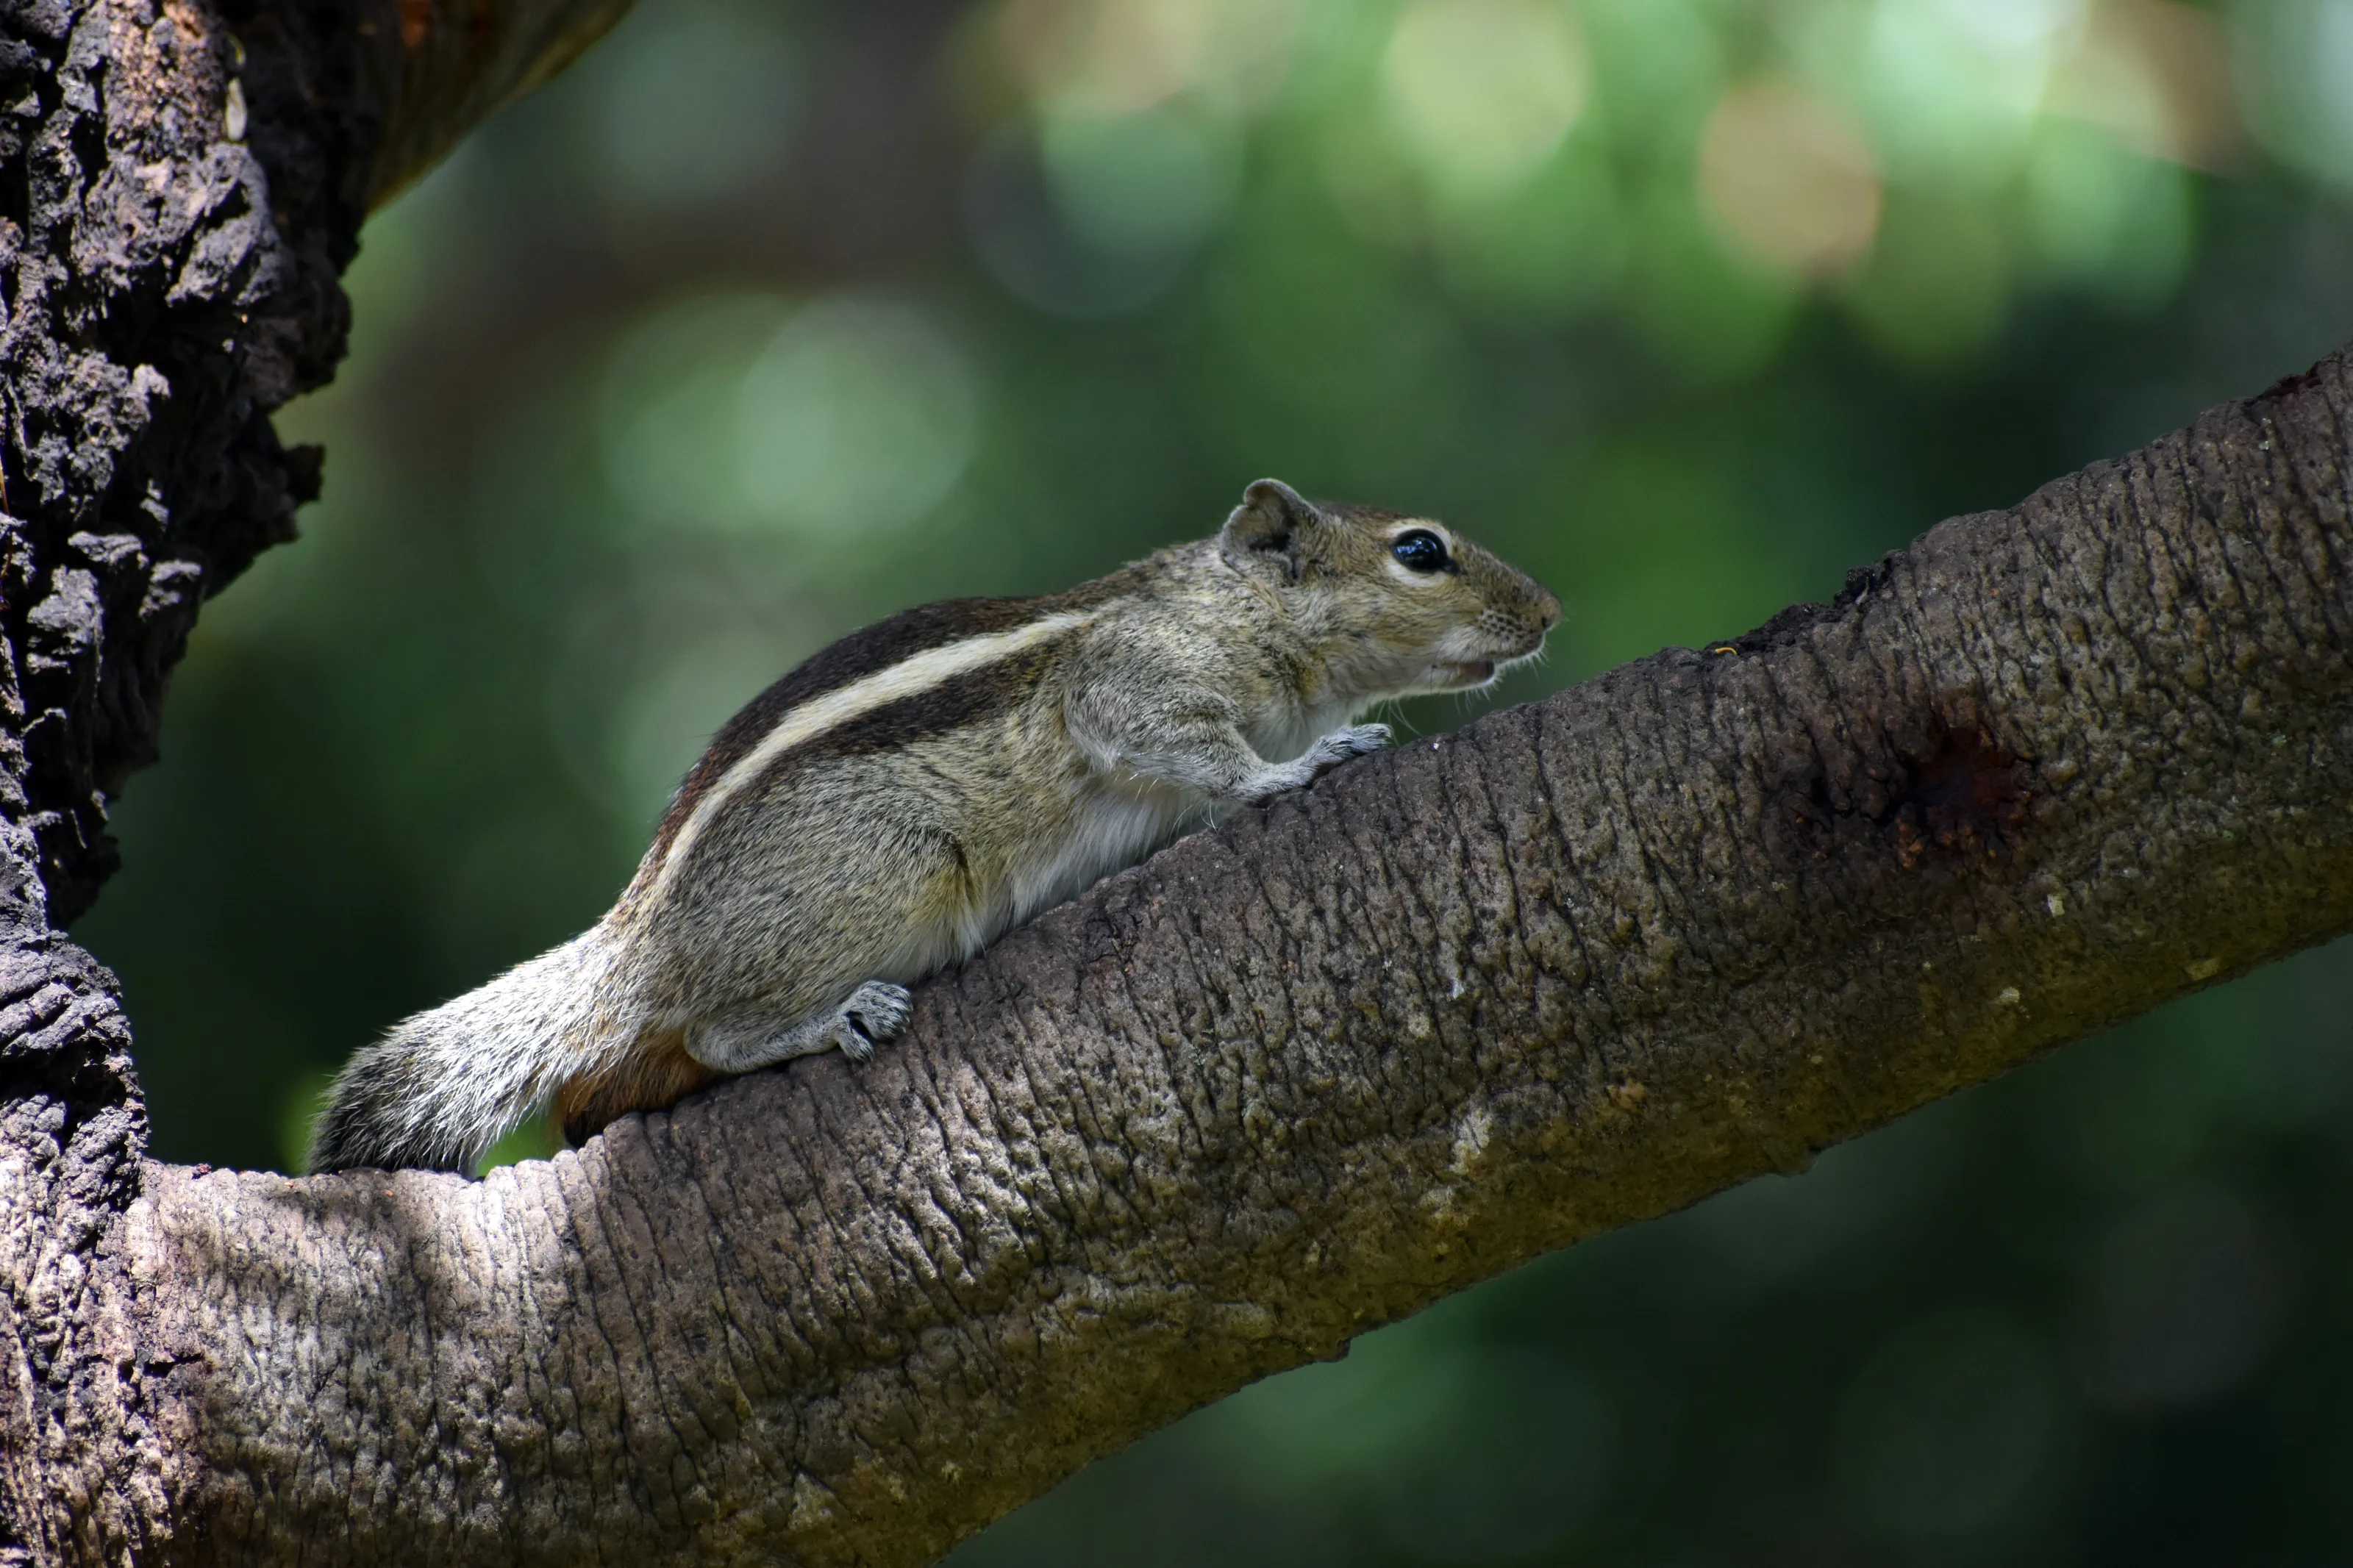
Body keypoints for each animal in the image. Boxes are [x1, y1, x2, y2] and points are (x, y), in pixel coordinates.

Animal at [306, 479, 1560, 1173]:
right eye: (1420, 550)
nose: (1550, 611)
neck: (1233, 602)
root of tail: (632, 943)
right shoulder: (1134, 681)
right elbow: (1195, 749)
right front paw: (1298, 769)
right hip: (880, 875)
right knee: (718, 1027)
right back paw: (831, 1020)